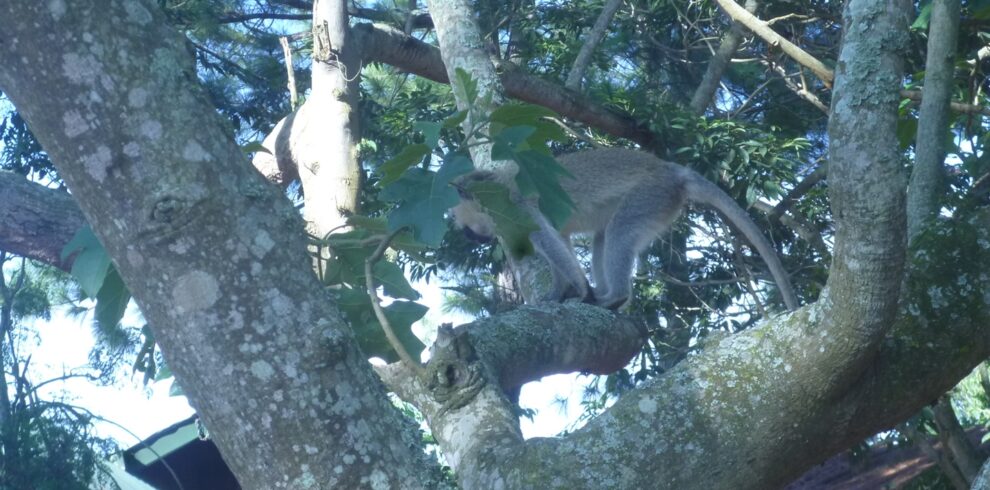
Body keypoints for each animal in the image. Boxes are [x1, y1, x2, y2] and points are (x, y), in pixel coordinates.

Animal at [454, 147, 804, 312]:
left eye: (466, 230)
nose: (470, 236)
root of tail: (670, 170)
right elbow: (561, 241)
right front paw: (559, 292)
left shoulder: (515, 205)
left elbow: (548, 241)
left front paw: (579, 290)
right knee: (603, 237)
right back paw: (607, 294)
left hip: (651, 195)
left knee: (619, 232)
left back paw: (614, 297)